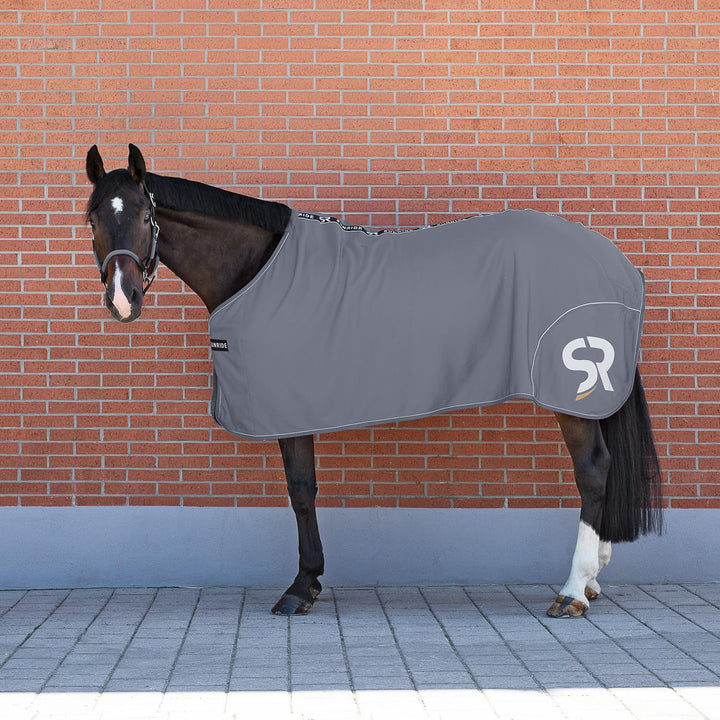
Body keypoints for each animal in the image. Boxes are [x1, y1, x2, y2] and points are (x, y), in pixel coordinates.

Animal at [83, 144, 662, 618]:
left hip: (570, 389)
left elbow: (301, 491)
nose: (122, 299)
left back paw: (571, 591)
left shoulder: (289, 406)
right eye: (92, 218)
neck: (256, 268)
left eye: (144, 214)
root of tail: (618, 266)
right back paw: (592, 582)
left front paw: (302, 586)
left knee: (593, 470)